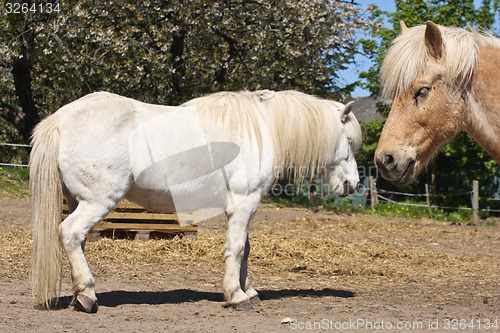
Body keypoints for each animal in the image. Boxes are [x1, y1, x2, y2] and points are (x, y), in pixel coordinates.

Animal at [29, 89, 362, 312]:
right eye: (348, 141)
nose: (353, 184)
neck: (262, 130)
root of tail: (60, 118)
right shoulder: (244, 203)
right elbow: (237, 249)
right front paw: (236, 296)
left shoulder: (245, 207)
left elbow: (246, 249)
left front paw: (249, 291)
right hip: (98, 202)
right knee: (70, 233)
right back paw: (87, 296)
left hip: (78, 201)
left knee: (78, 241)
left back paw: (78, 294)